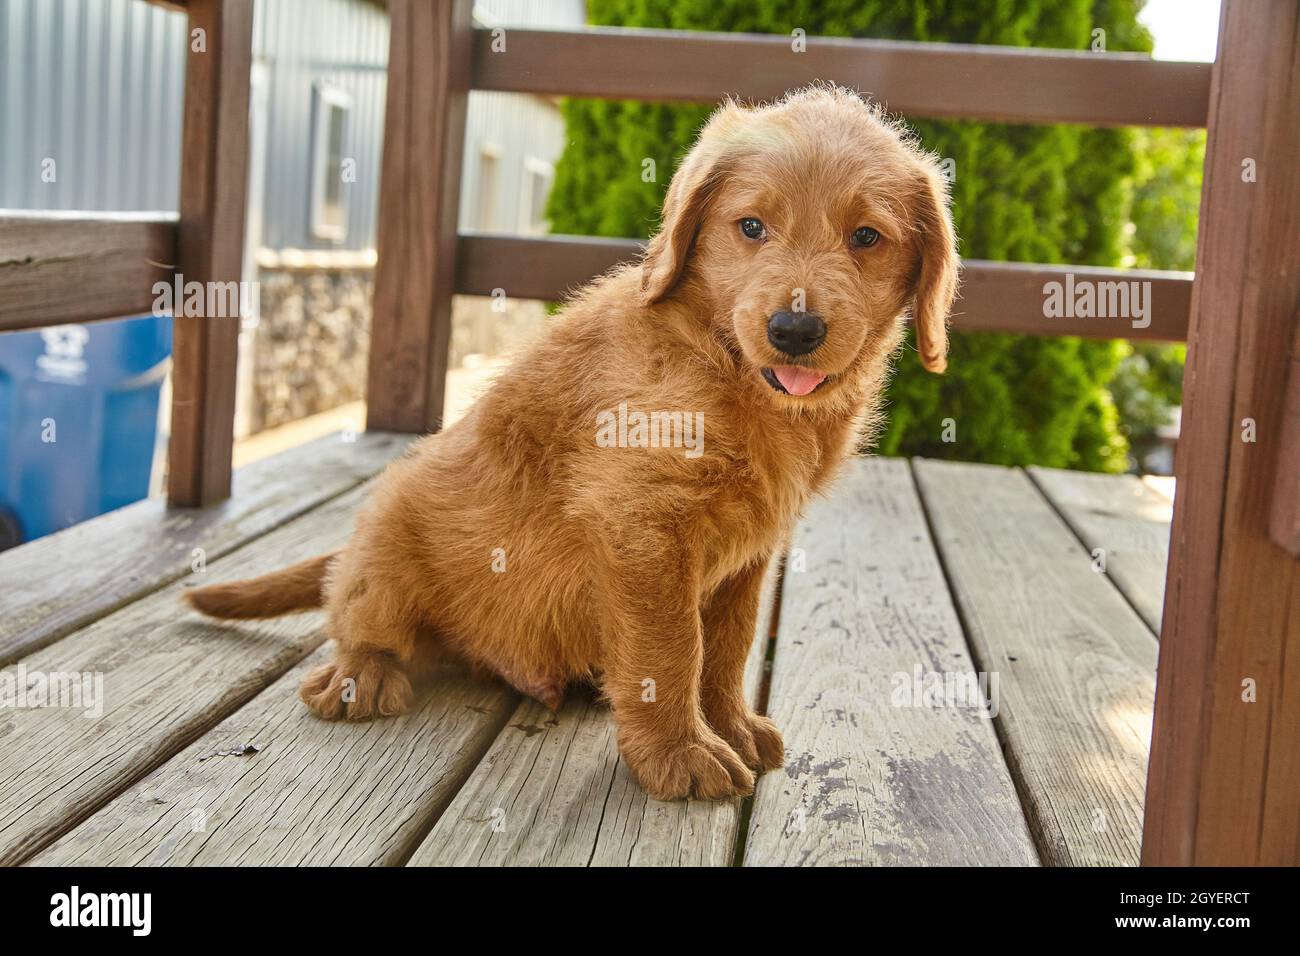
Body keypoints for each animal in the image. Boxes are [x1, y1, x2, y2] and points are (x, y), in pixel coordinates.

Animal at [185, 87, 956, 801]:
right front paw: (680, 753)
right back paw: (361, 675)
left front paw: (729, 725)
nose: (795, 331)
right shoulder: (639, 521)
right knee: (357, 617)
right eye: (751, 227)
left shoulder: (751, 547)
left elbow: (727, 644)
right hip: (386, 543)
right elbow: (672, 649)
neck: (724, 365)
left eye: (866, 238)